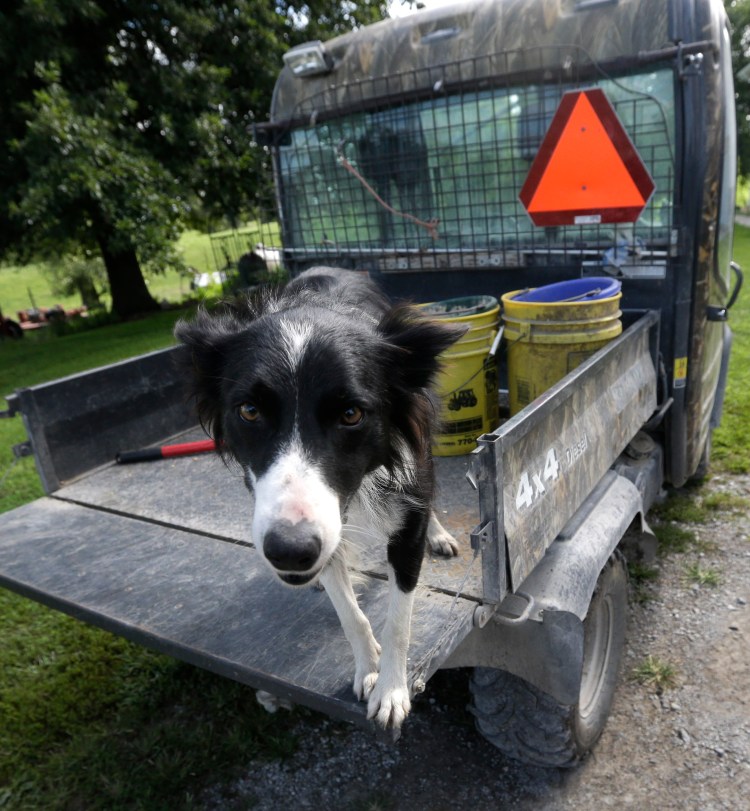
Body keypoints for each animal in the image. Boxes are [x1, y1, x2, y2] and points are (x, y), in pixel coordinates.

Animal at [176, 270, 464, 732]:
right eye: (250, 411)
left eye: (351, 414)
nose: (289, 553)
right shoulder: (322, 534)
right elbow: (349, 613)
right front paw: (368, 668)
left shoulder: (404, 511)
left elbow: (398, 620)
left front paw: (391, 690)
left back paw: (437, 534)